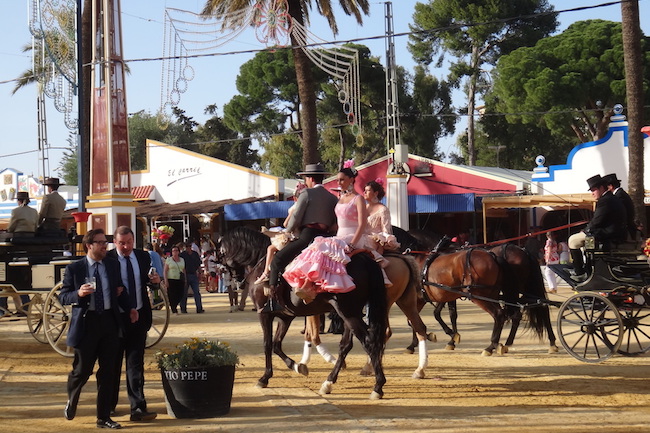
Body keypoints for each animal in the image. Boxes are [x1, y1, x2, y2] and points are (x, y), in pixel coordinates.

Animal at [218, 226, 390, 398]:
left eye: (220, 253)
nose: (236, 280)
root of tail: (365, 260)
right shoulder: (285, 317)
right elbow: (276, 344)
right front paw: (296, 366)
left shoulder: (264, 313)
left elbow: (267, 344)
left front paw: (264, 377)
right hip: (350, 313)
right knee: (346, 345)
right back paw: (328, 382)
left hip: (347, 312)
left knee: (369, 342)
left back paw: (378, 386)